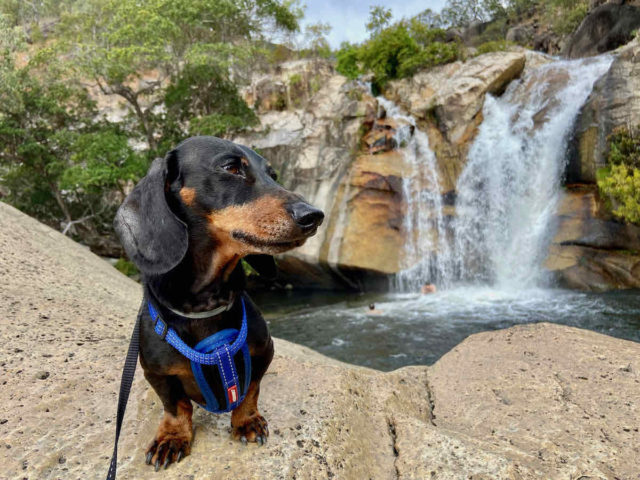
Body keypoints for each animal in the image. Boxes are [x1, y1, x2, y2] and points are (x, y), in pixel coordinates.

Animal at [113, 135, 322, 468]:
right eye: (231, 167)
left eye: (273, 175)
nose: (314, 215)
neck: (206, 306)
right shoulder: (157, 373)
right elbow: (176, 406)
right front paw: (172, 436)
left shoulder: (263, 353)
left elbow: (250, 390)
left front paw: (246, 420)